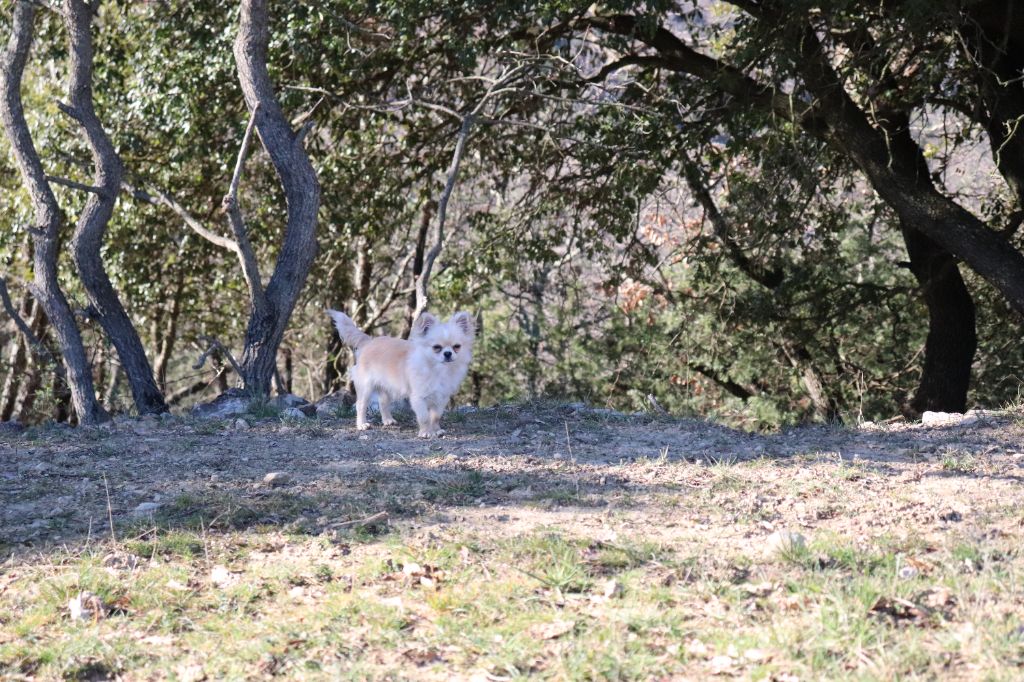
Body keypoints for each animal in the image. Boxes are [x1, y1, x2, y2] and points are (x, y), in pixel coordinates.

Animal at [327, 309, 475, 436]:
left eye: (457, 347)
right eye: (437, 348)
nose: (448, 353)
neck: (439, 369)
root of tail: (369, 342)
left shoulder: (442, 397)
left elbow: (436, 416)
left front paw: (436, 430)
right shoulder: (418, 398)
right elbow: (424, 417)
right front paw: (426, 432)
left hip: (386, 387)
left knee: (383, 403)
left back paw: (387, 420)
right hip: (366, 387)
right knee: (361, 405)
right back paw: (362, 424)